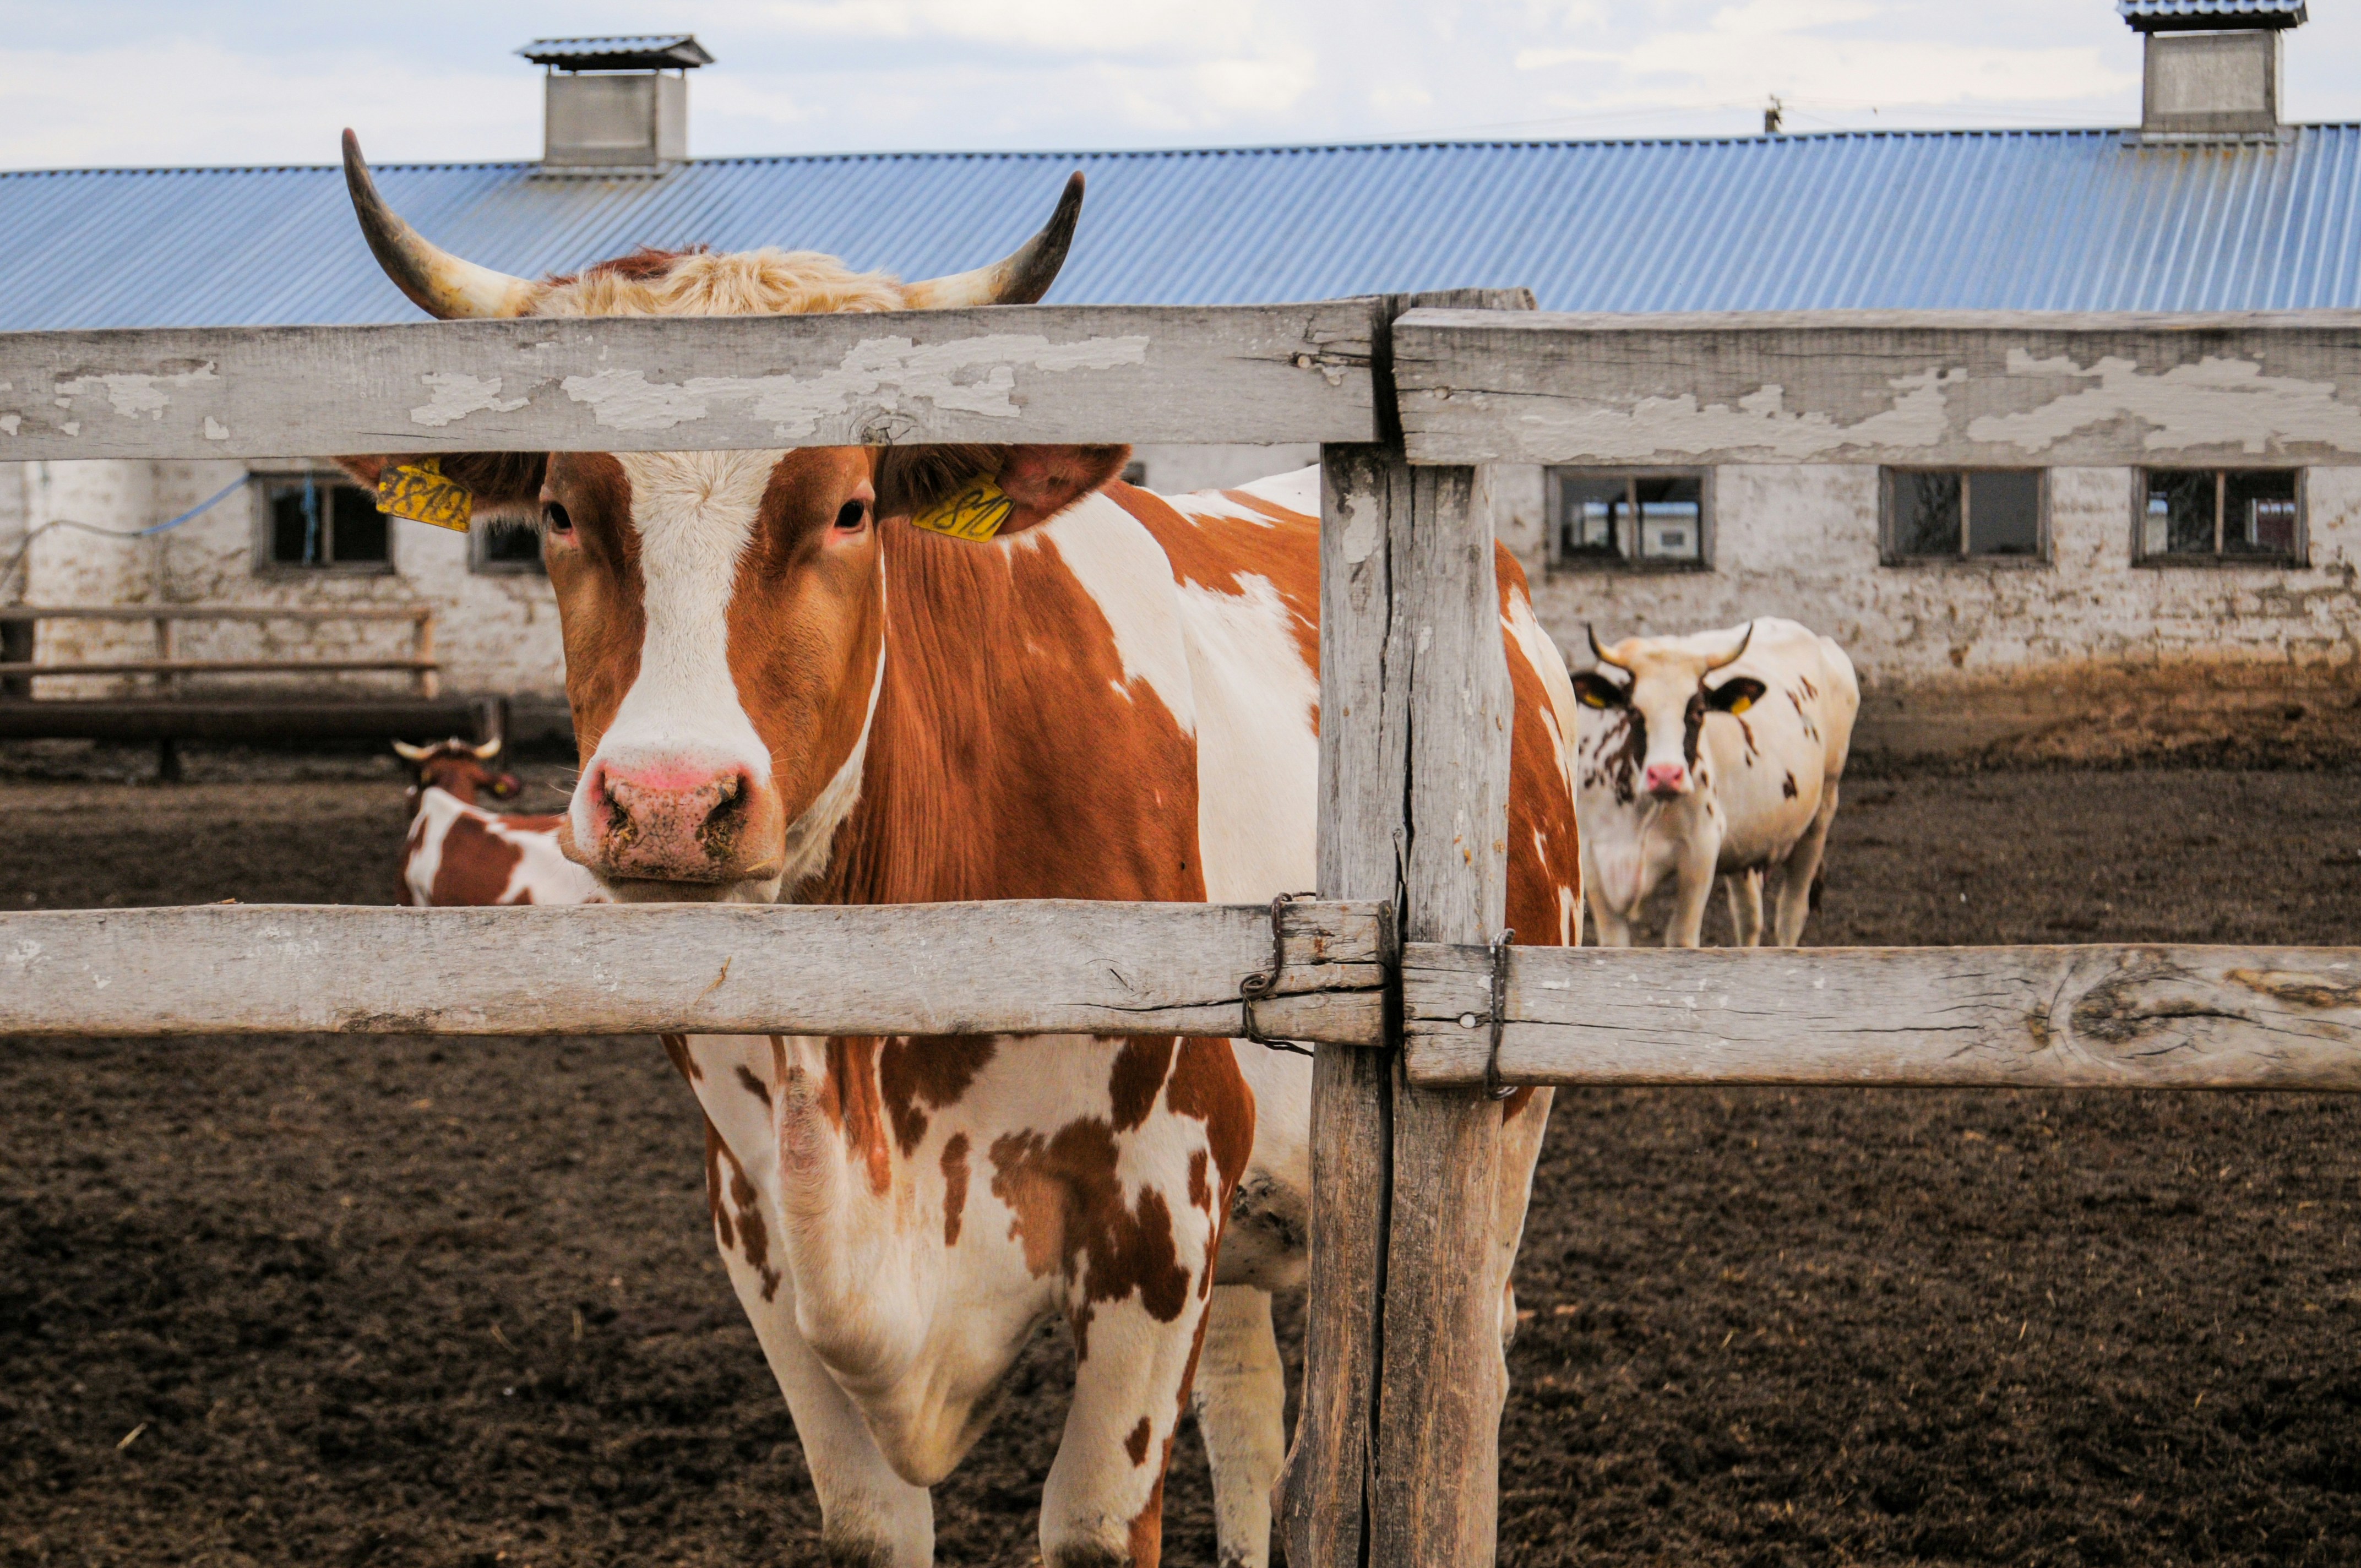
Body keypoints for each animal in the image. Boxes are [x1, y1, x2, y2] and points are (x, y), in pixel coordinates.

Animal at [1572, 617, 1858, 948]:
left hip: (1821, 814)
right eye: (1632, 711)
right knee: (1749, 918)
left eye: (1697, 711)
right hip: (1746, 841)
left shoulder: (1701, 848)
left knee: (1790, 914)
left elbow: (1681, 938)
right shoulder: (1593, 856)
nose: (1666, 775)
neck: (1639, 812)